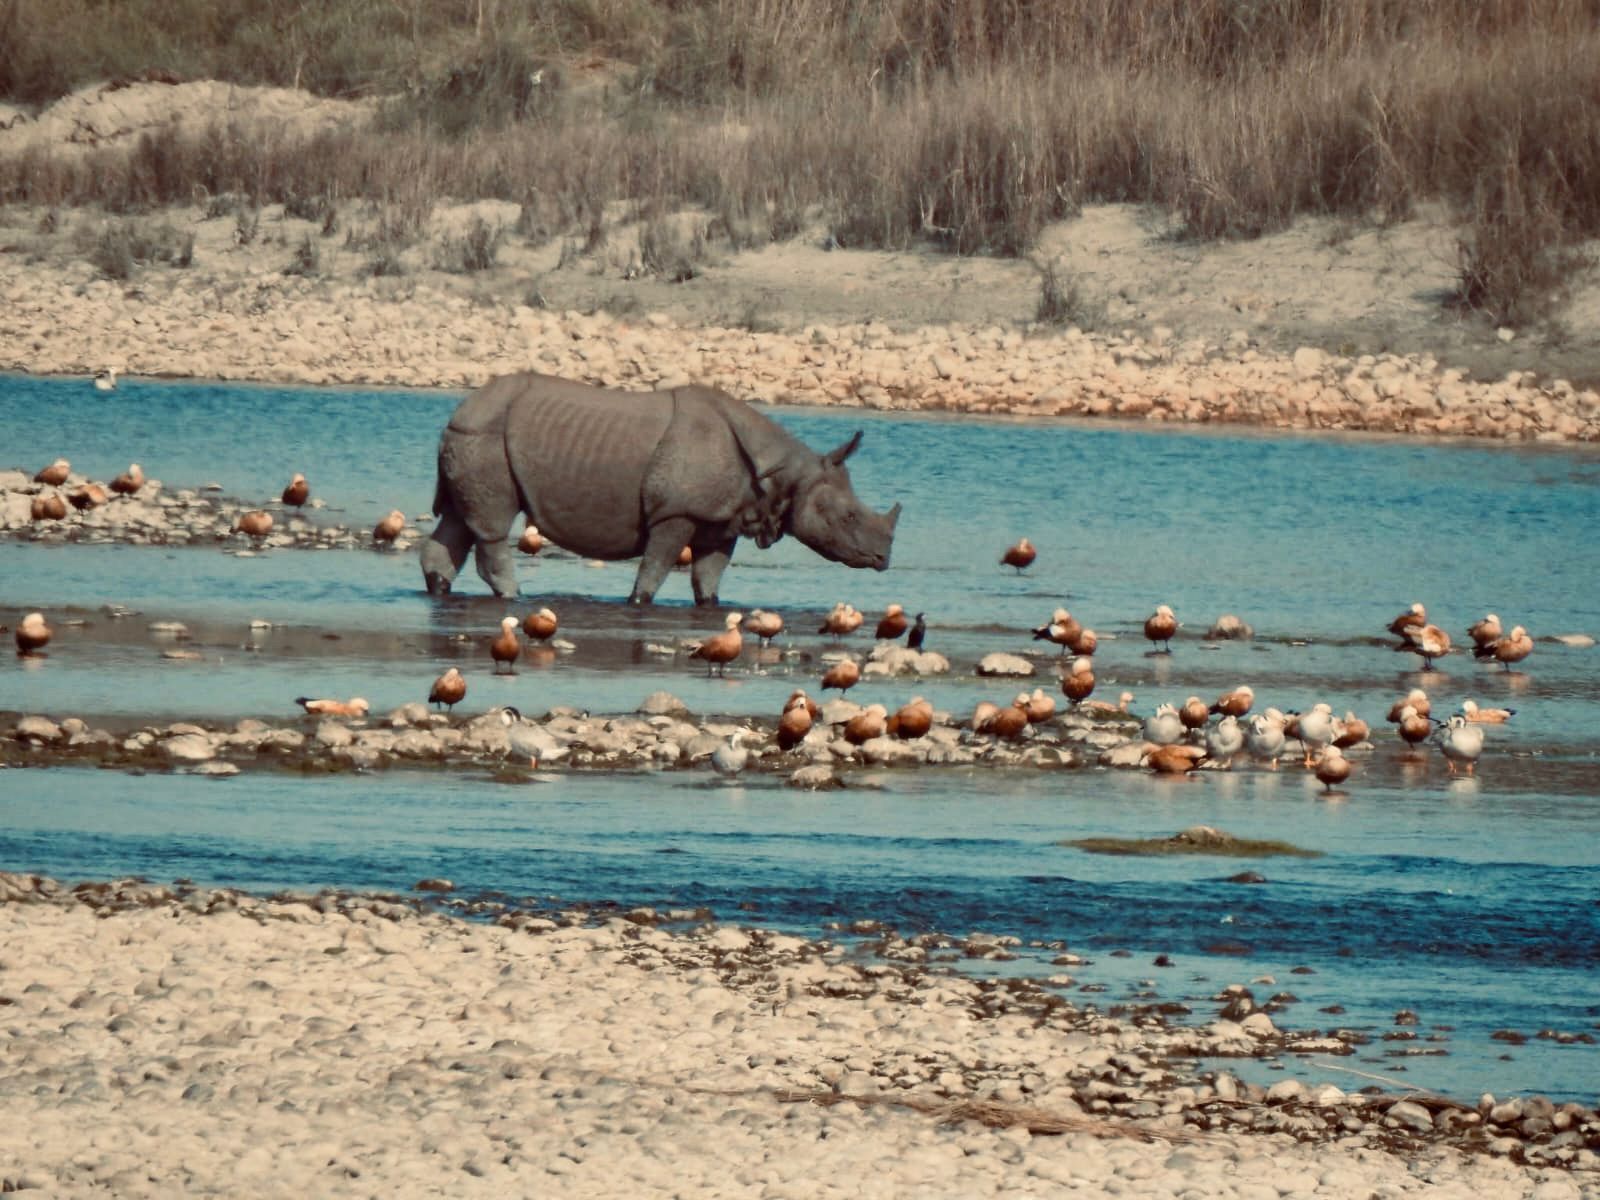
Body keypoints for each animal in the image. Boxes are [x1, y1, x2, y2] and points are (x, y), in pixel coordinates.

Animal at [420, 373, 901, 604]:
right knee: (492, 525)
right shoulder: (677, 512)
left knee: (459, 521)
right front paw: (638, 601)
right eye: (849, 516)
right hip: (485, 436)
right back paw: (514, 597)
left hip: (474, 434)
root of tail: (461, 409)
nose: (883, 560)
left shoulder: (723, 518)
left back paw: (440, 589)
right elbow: (654, 570)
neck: (787, 474)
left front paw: (709, 603)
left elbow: (708, 575)